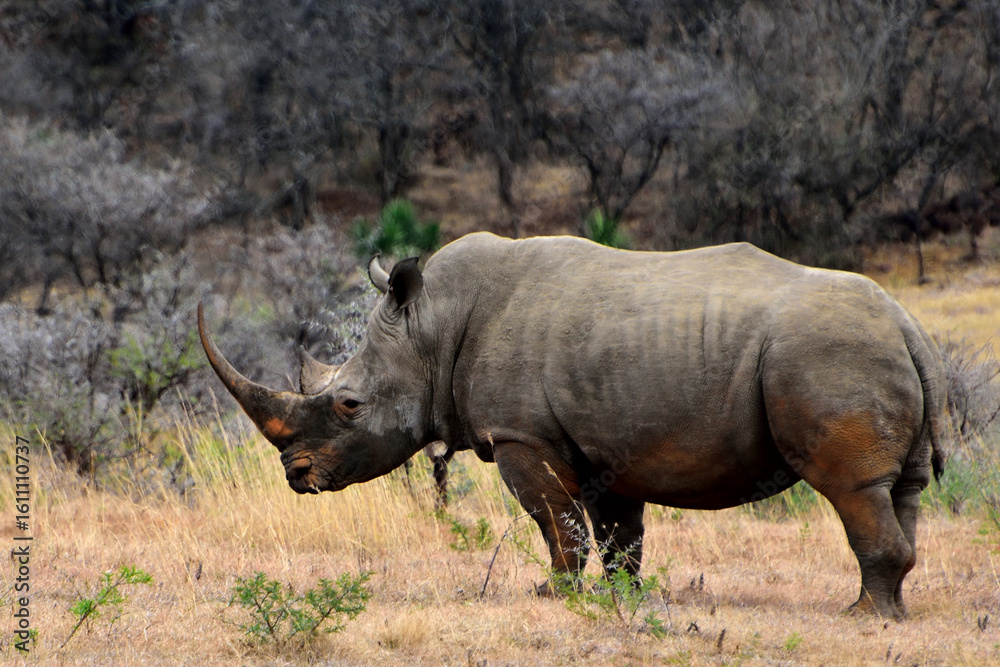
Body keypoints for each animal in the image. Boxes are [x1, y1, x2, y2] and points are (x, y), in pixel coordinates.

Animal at [198, 232, 946, 620]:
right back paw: (889, 606)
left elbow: (555, 520)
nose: (297, 475)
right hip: (863, 348)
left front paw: (551, 592)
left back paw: (862, 614)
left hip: (826, 354)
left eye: (348, 405)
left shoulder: (523, 434)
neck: (431, 327)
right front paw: (622, 596)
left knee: (850, 488)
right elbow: (618, 534)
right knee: (899, 489)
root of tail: (907, 322)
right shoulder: (610, 440)